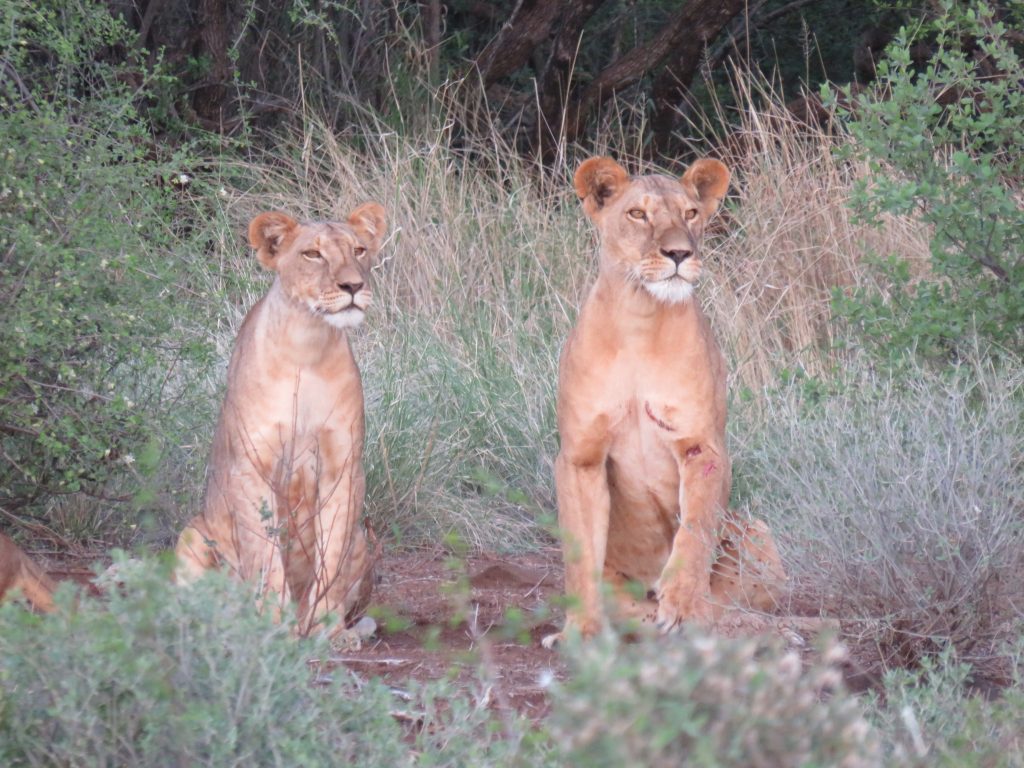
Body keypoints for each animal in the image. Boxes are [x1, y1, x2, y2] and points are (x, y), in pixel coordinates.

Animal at [174, 202, 385, 638]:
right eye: (313, 254)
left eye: (359, 250)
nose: (353, 286)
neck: (308, 343)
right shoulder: (251, 466)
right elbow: (266, 556)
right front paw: (274, 627)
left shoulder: (343, 467)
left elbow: (330, 555)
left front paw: (323, 629)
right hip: (192, 535)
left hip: (362, 538)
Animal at [548, 153, 786, 647]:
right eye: (638, 214)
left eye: (691, 214)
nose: (680, 254)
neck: (640, 318)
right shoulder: (580, 457)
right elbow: (579, 554)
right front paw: (580, 632)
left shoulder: (703, 448)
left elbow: (693, 533)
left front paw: (679, 603)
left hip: (755, 530)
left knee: (728, 609)